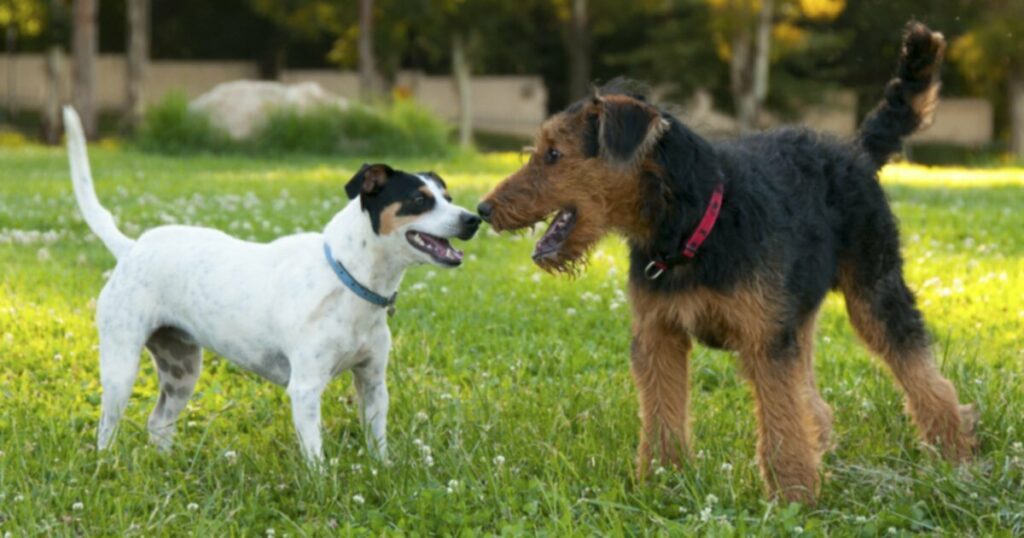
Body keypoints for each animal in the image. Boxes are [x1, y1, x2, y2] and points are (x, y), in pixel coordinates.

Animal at [64, 106, 479, 461]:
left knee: (159, 421)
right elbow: (316, 458)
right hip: (121, 366)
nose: (473, 219)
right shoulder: (306, 389)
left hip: (181, 369)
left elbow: (378, 443)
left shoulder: (373, 382)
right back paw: (106, 463)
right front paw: (323, 488)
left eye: (448, 197)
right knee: (108, 427)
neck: (348, 279)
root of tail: (131, 247)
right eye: (419, 200)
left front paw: (382, 471)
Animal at [479, 21, 974, 500]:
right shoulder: (660, 335)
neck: (691, 225)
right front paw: (662, 485)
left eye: (554, 154)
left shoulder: (762, 340)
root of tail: (855, 151)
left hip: (874, 292)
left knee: (925, 377)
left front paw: (794, 498)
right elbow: (664, 418)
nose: (485, 210)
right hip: (797, 314)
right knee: (814, 398)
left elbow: (780, 424)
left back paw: (954, 452)